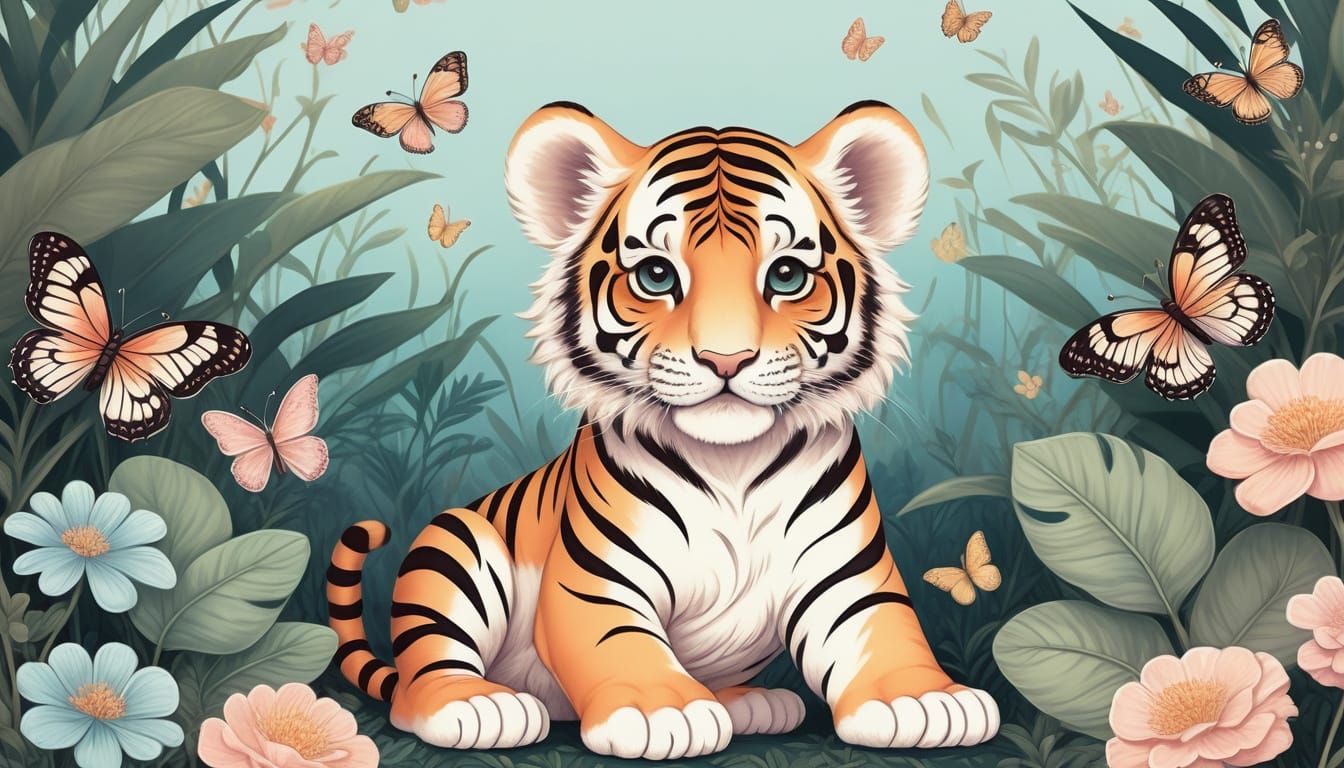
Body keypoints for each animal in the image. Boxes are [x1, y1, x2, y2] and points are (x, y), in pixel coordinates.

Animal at [327, 100, 1000, 759]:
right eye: (656, 275)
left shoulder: (850, 575)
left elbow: (884, 632)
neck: (733, 465)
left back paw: (752, 703)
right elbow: (620, 642)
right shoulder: (596, 579)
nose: (727, 360)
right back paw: (480, 705)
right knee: (420, 682)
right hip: (456, 547)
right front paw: (662, 711)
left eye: (786, 276)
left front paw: (921, 700)